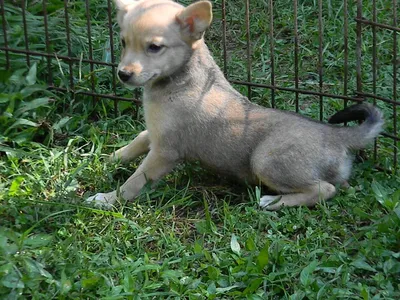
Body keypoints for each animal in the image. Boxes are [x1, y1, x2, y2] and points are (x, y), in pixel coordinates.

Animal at [86, 0, 382, 211]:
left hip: (264, 160)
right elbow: (135, 141)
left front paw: (107, 198)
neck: (179, 81)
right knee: (339, 185)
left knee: (324, 190)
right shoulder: (155, 134)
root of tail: (337, 135)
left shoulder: (164, 152)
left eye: (155, 47)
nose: (123, 75)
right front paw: (108, 159)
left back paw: (274, 202)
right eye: (123, 42)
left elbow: (134, 182)